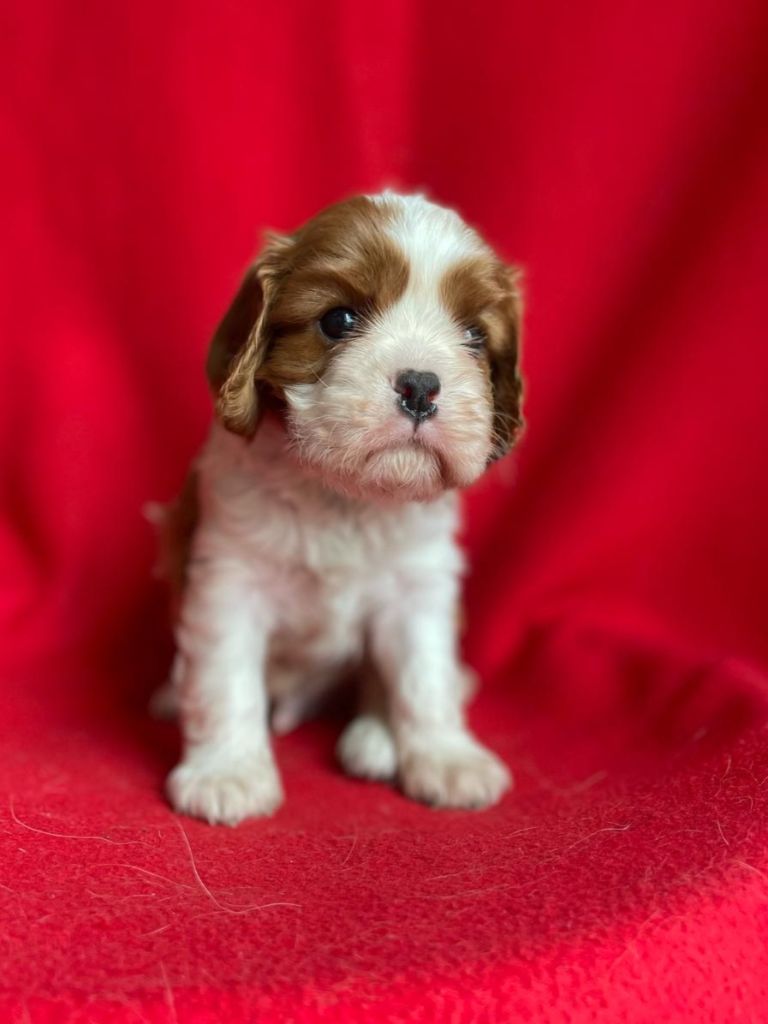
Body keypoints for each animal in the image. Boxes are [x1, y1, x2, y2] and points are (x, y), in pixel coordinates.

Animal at [156, 191, 524, 825]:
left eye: (475, 335)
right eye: (337, 320)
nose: (421, 385)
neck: (346, 494)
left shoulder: (420, 587)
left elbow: (424, 676)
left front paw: (447, 758)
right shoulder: (228, 577)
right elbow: (225, 680)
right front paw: (227, 772)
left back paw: (377, 739)